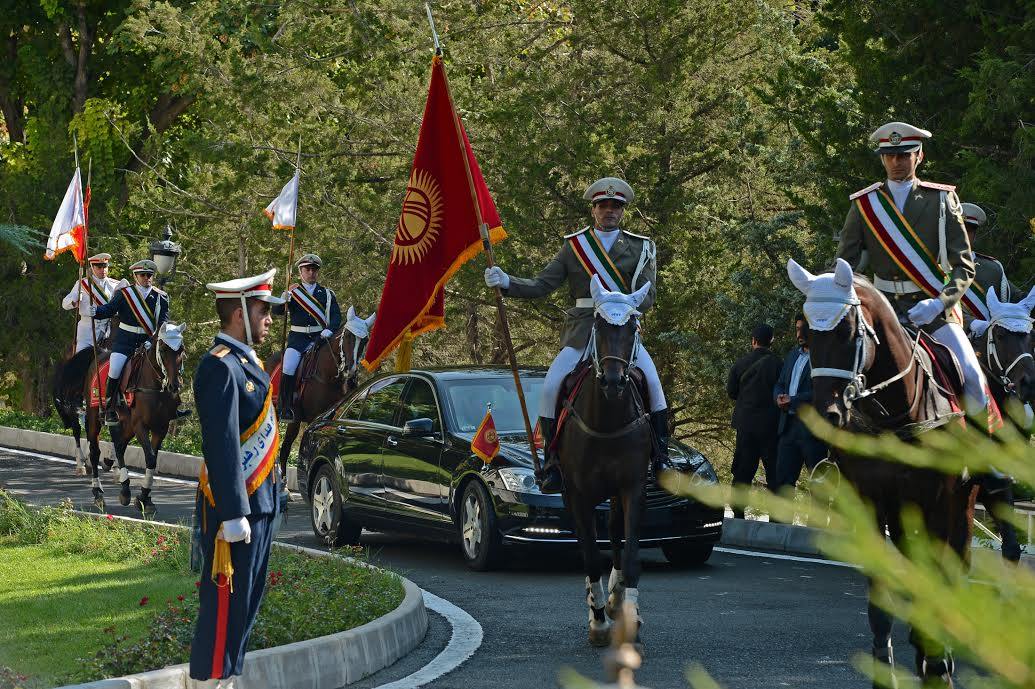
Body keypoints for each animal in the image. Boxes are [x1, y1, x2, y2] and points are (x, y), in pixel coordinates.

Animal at [83, 320, 187, 508]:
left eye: (181, 349)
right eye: (163, 349)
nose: (174, 386)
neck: (156, 388)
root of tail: (100, 354)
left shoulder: (161, 427)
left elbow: (152, 460)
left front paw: (145, 498)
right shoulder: (140, 426)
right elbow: (150, 458)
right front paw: (143, 496)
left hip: (127, 423)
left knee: (119, 446)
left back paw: (124, 488)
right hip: (95, 415)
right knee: (95, 452)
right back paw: (98, 492)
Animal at [790, 258, 977, 686]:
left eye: (846, 332)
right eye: (806, 336)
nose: (829, 414)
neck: (897, 413)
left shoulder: (938, 504)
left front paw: (937, 664)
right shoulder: (871, 503)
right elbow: (881, 597)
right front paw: (885, 667)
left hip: (962, 506)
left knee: (954, 568)